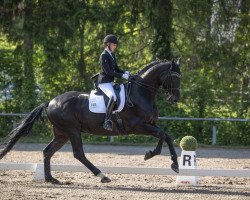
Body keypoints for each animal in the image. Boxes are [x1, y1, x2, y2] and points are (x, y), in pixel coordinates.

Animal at [0, 58, 181, 184]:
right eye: (174, 77)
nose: (175, 99)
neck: (140, 93)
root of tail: (50, 102)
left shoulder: (150, 124)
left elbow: (165, 136)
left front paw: (153, 155)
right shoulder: (138, 126)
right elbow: (164, 135)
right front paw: (172, 163)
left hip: (61, 133)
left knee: (47, 151)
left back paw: (51, 179)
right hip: (72, 130)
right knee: (78, 153)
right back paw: (102, 175)